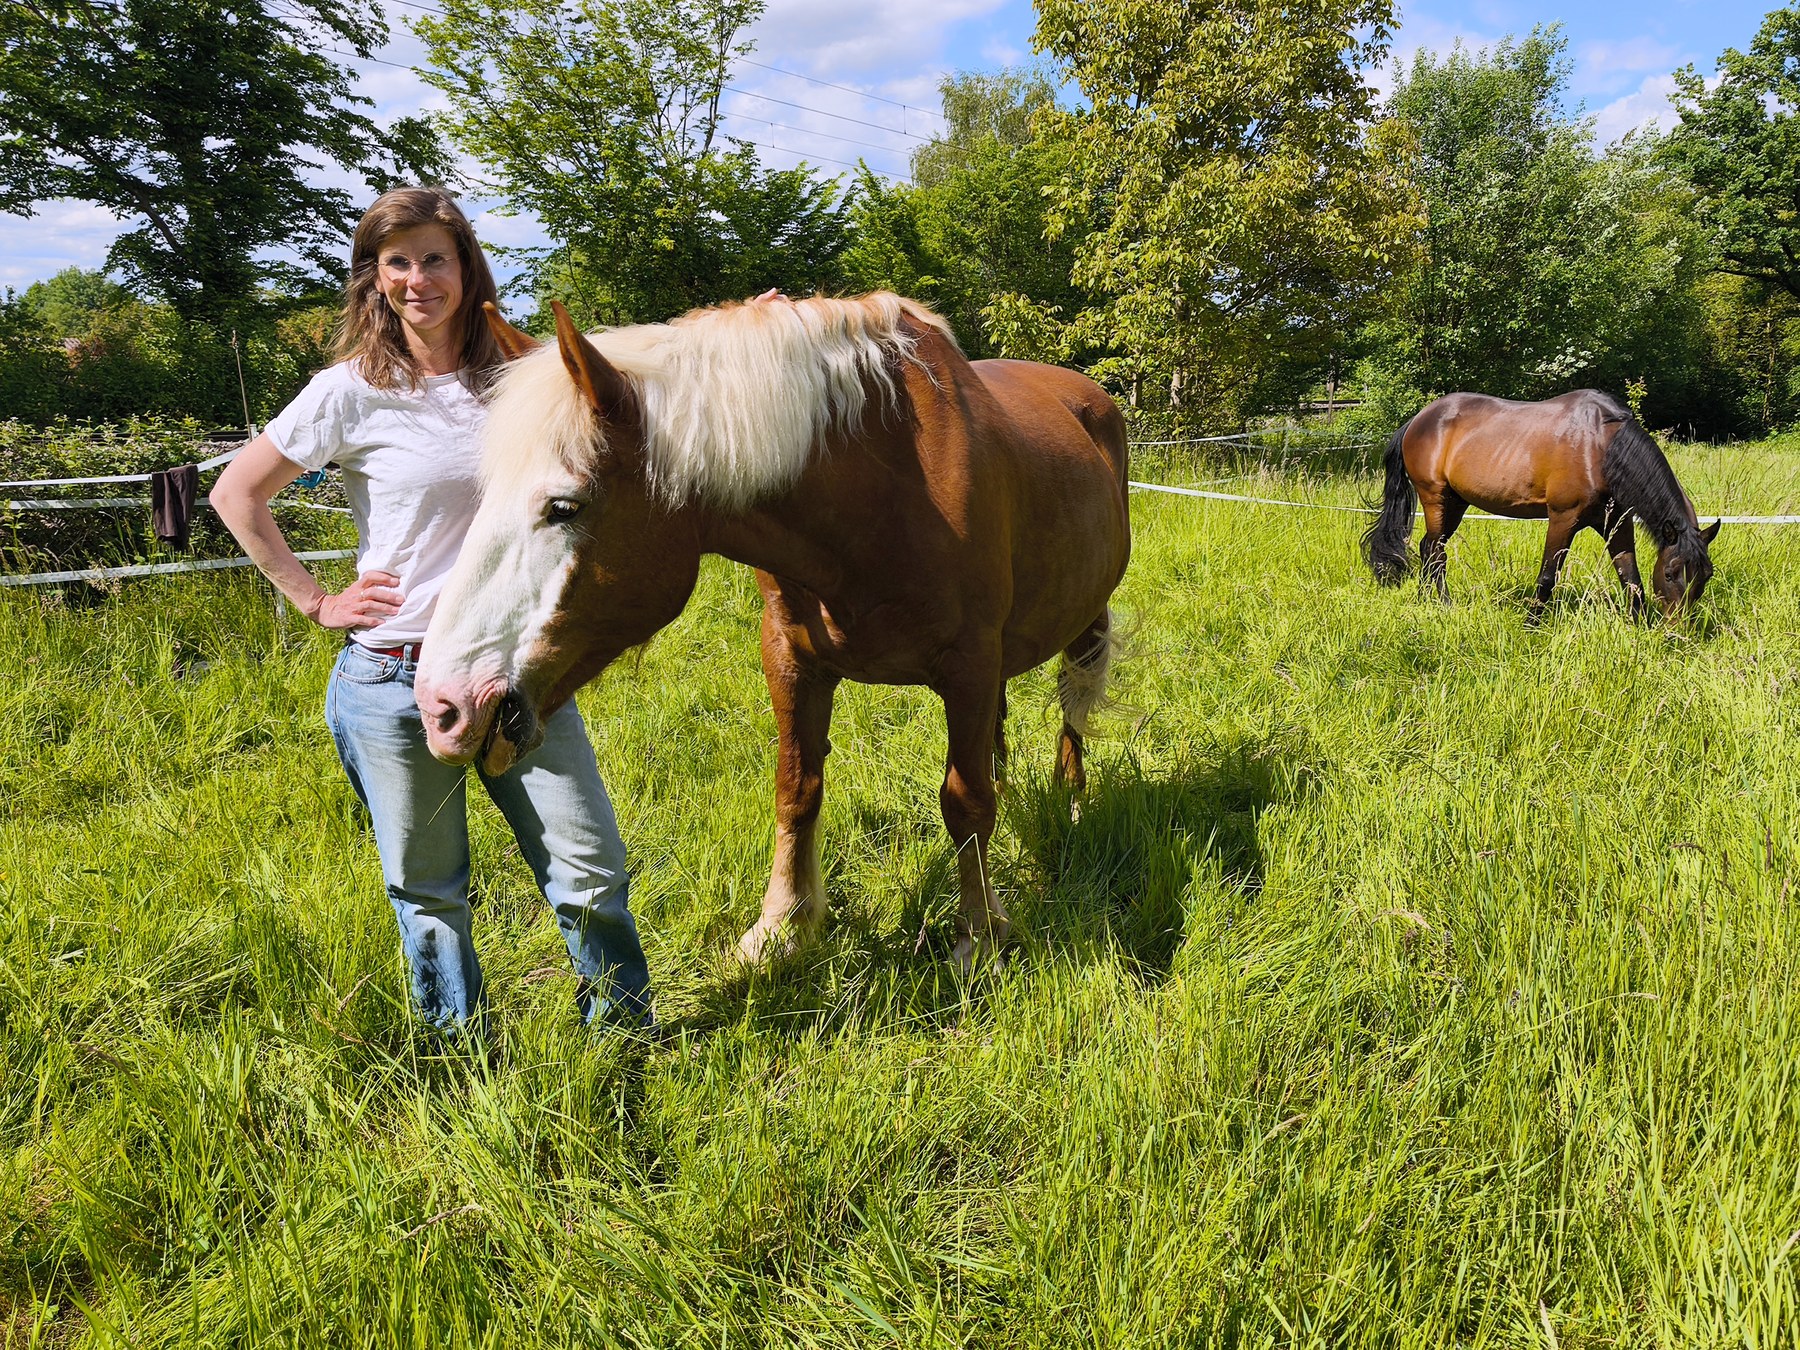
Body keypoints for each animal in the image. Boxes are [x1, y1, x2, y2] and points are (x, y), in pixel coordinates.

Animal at [413, 293, 1131, 971]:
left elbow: (965, 802)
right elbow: (797, 789)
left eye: (564, 506)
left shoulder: (970, 665)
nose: (443, 707)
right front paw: (783, 925)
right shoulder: (791, 658)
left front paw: (978, 937)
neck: (887, 485)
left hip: (1087, 618)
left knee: (1073, 703)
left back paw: (1070, 798)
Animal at [1362, 389, 1719, 619]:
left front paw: (1640, 626)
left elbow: (1630, 578)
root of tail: (1417, 420)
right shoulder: (1563, 518)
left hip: (1456, 503)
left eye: (1706, 576)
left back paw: (1428, 600)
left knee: (1427, 547)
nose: (1677, 632)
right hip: (1435, 498)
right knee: (1436, 552)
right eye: (1671, 574)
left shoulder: (1616, 522)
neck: (1600, 447)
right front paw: (1531, 623)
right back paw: (1445, 604)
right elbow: (1548, 577)